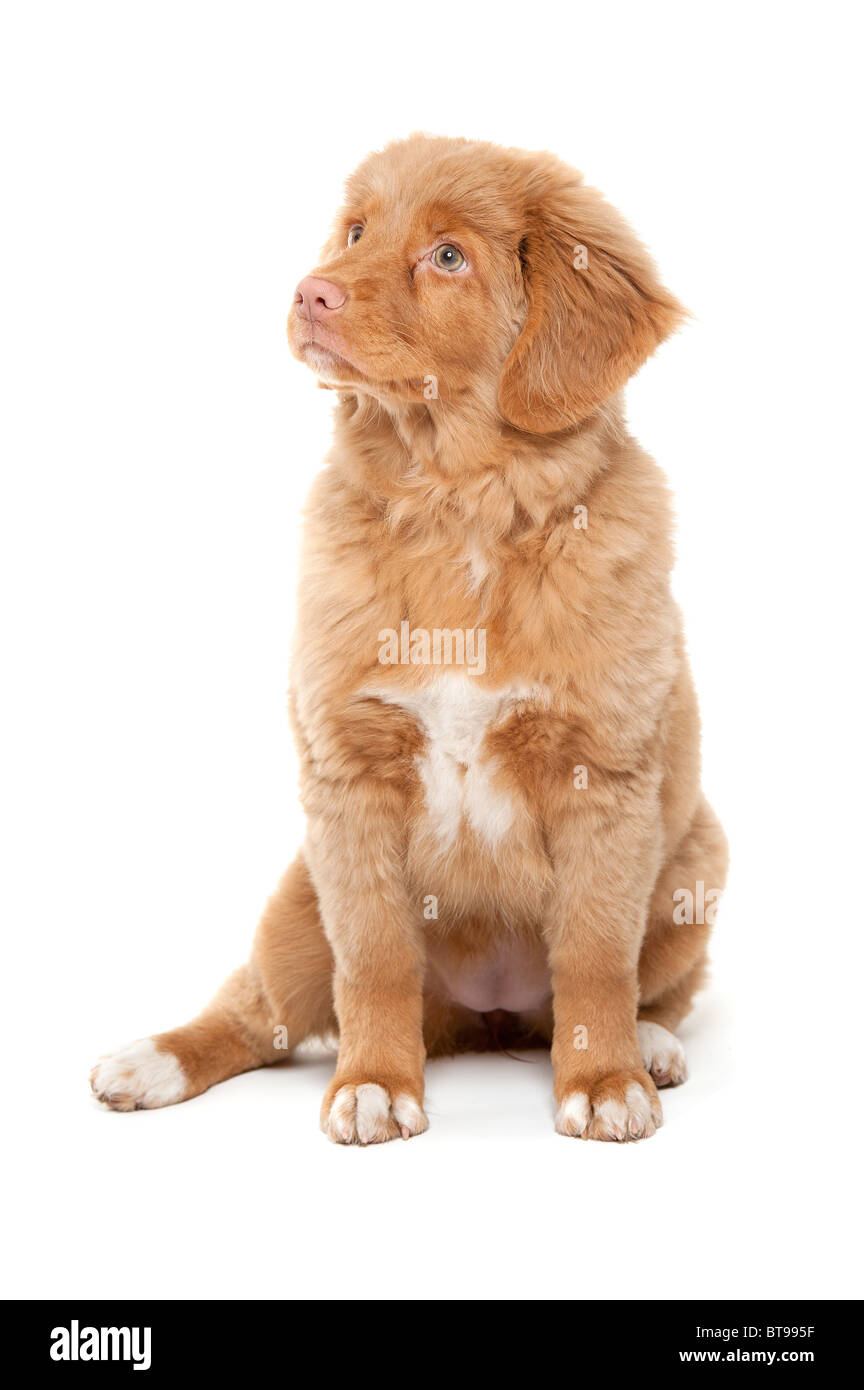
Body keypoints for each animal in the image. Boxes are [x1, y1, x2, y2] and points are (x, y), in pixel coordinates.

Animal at [93, 138, 733, 1139]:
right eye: (356, 232)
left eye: (448, 257)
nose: (310, 291)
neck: (458, 504)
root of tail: (488, 1016)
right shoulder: (350, 778)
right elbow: (375, 961)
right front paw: (373, 1084)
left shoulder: (602, 775)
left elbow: (595, 957)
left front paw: (603, 1081)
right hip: (296, 899)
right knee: (260, 1011)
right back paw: (152, 1060)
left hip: (694, 865)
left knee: (648, 989)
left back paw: (652, 1048)